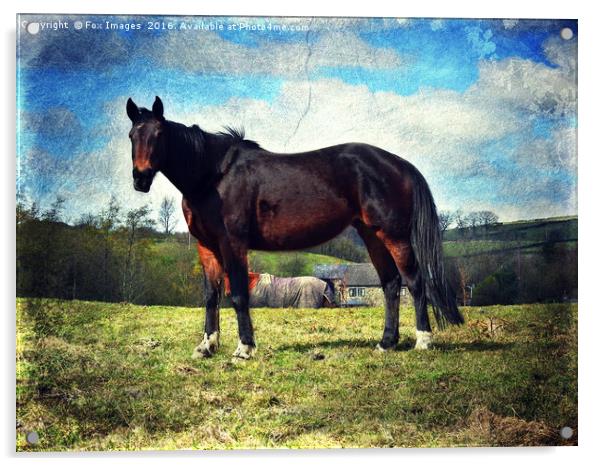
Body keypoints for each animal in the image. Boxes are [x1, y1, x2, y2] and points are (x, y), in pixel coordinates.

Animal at [125, 96, 464, 360]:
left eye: (159, 134)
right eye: (131, 135)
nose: (140, 178)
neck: (214, 176)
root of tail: (400, 164)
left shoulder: (233, 242)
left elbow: (238, 294)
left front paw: (244, 349)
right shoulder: (207, 245)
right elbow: (211, 295)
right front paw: (207, 346)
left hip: (394, 235)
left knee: (415, 282)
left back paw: (423, 341)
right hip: (372, 235)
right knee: (392, 285)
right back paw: (386, 343)